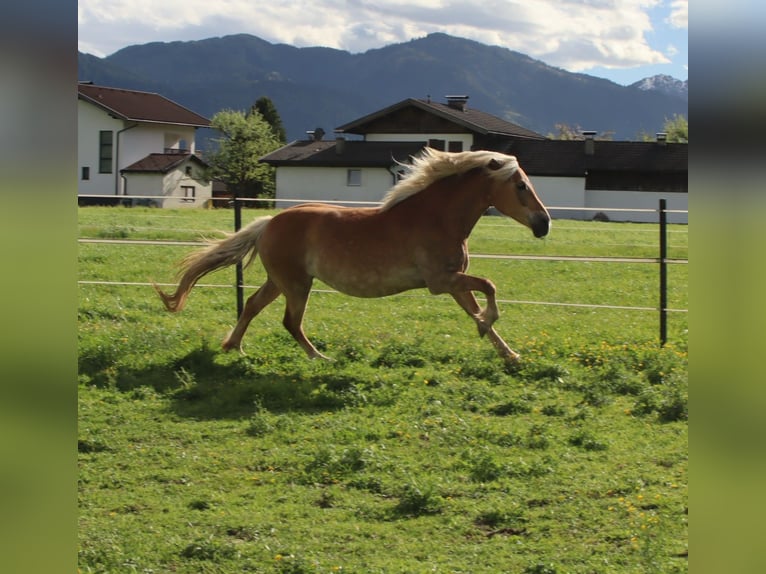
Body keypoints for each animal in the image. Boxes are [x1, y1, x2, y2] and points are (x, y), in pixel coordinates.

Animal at [154, 148, 552, 364]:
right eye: (520, 185)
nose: (544, 223)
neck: (437, 217)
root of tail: (268, 224)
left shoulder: (453, 282)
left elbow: (475, 306)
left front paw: (507, 351)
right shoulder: (441, 282)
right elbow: (490, 286)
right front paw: (488, 327)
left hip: (281, 281)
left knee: (252, 306)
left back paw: (234, 347)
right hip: (296, 285)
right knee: (290, 322)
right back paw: (320, 358)